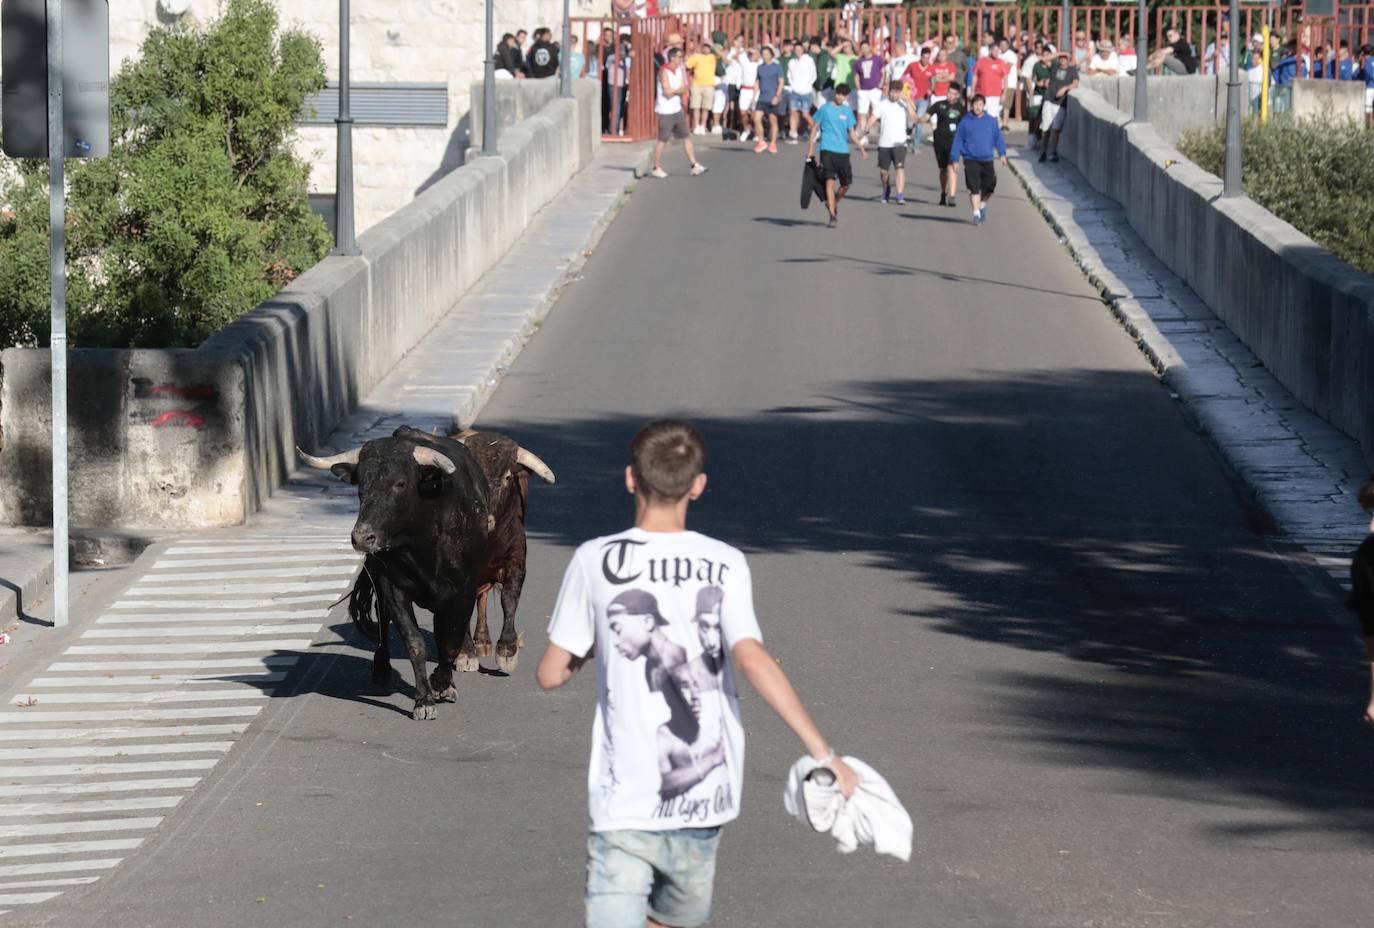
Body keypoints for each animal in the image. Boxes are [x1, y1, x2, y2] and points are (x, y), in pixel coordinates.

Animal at [299, 423, 552, 720]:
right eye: (361, 485)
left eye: (400, 483)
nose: (362, 537)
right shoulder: (393, 587)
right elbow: (415, 641)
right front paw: (424, 699)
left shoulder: (480, 579)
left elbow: (473, 623)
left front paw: (499, 655)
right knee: (384, 622)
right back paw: (383, 667)